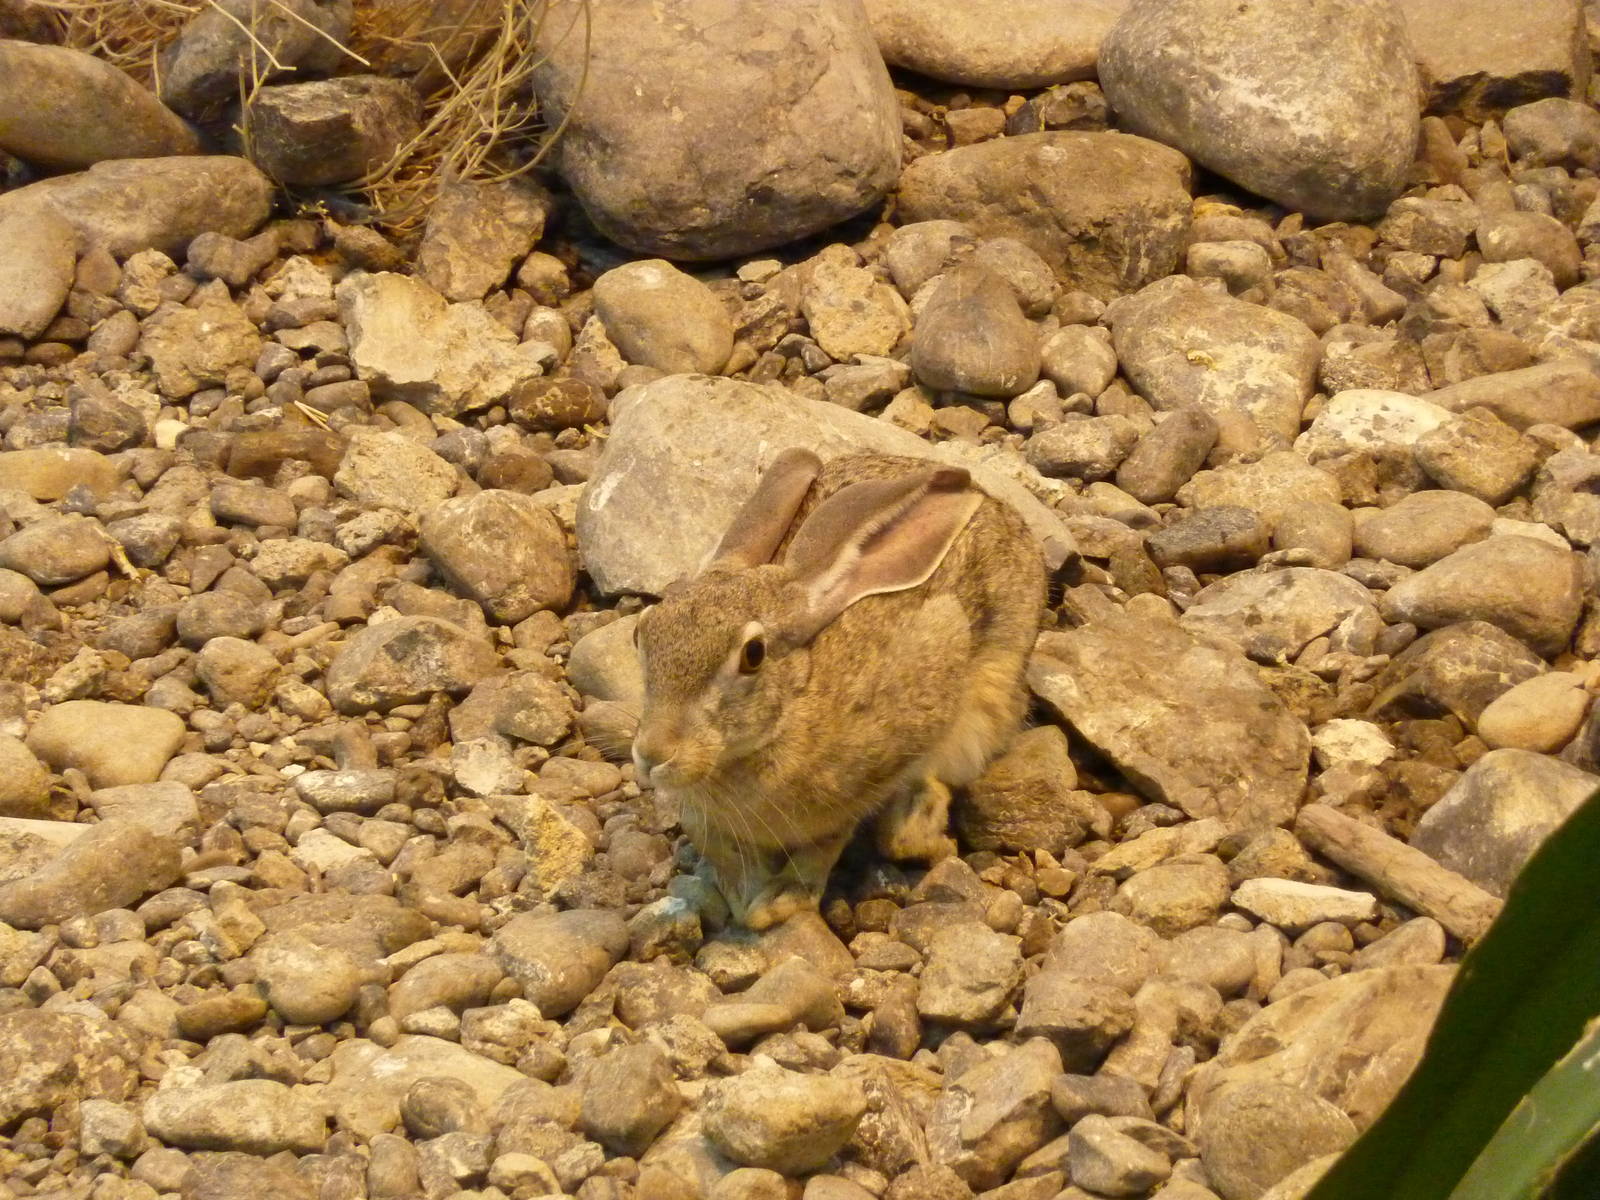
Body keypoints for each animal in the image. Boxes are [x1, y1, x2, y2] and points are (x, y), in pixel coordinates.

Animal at [632, 447, 1047, 930]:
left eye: (753, 655)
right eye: (641, 632)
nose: (652, 755)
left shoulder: (868, 780)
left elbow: (831, 842)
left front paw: (780, 903)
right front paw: (744, 897)